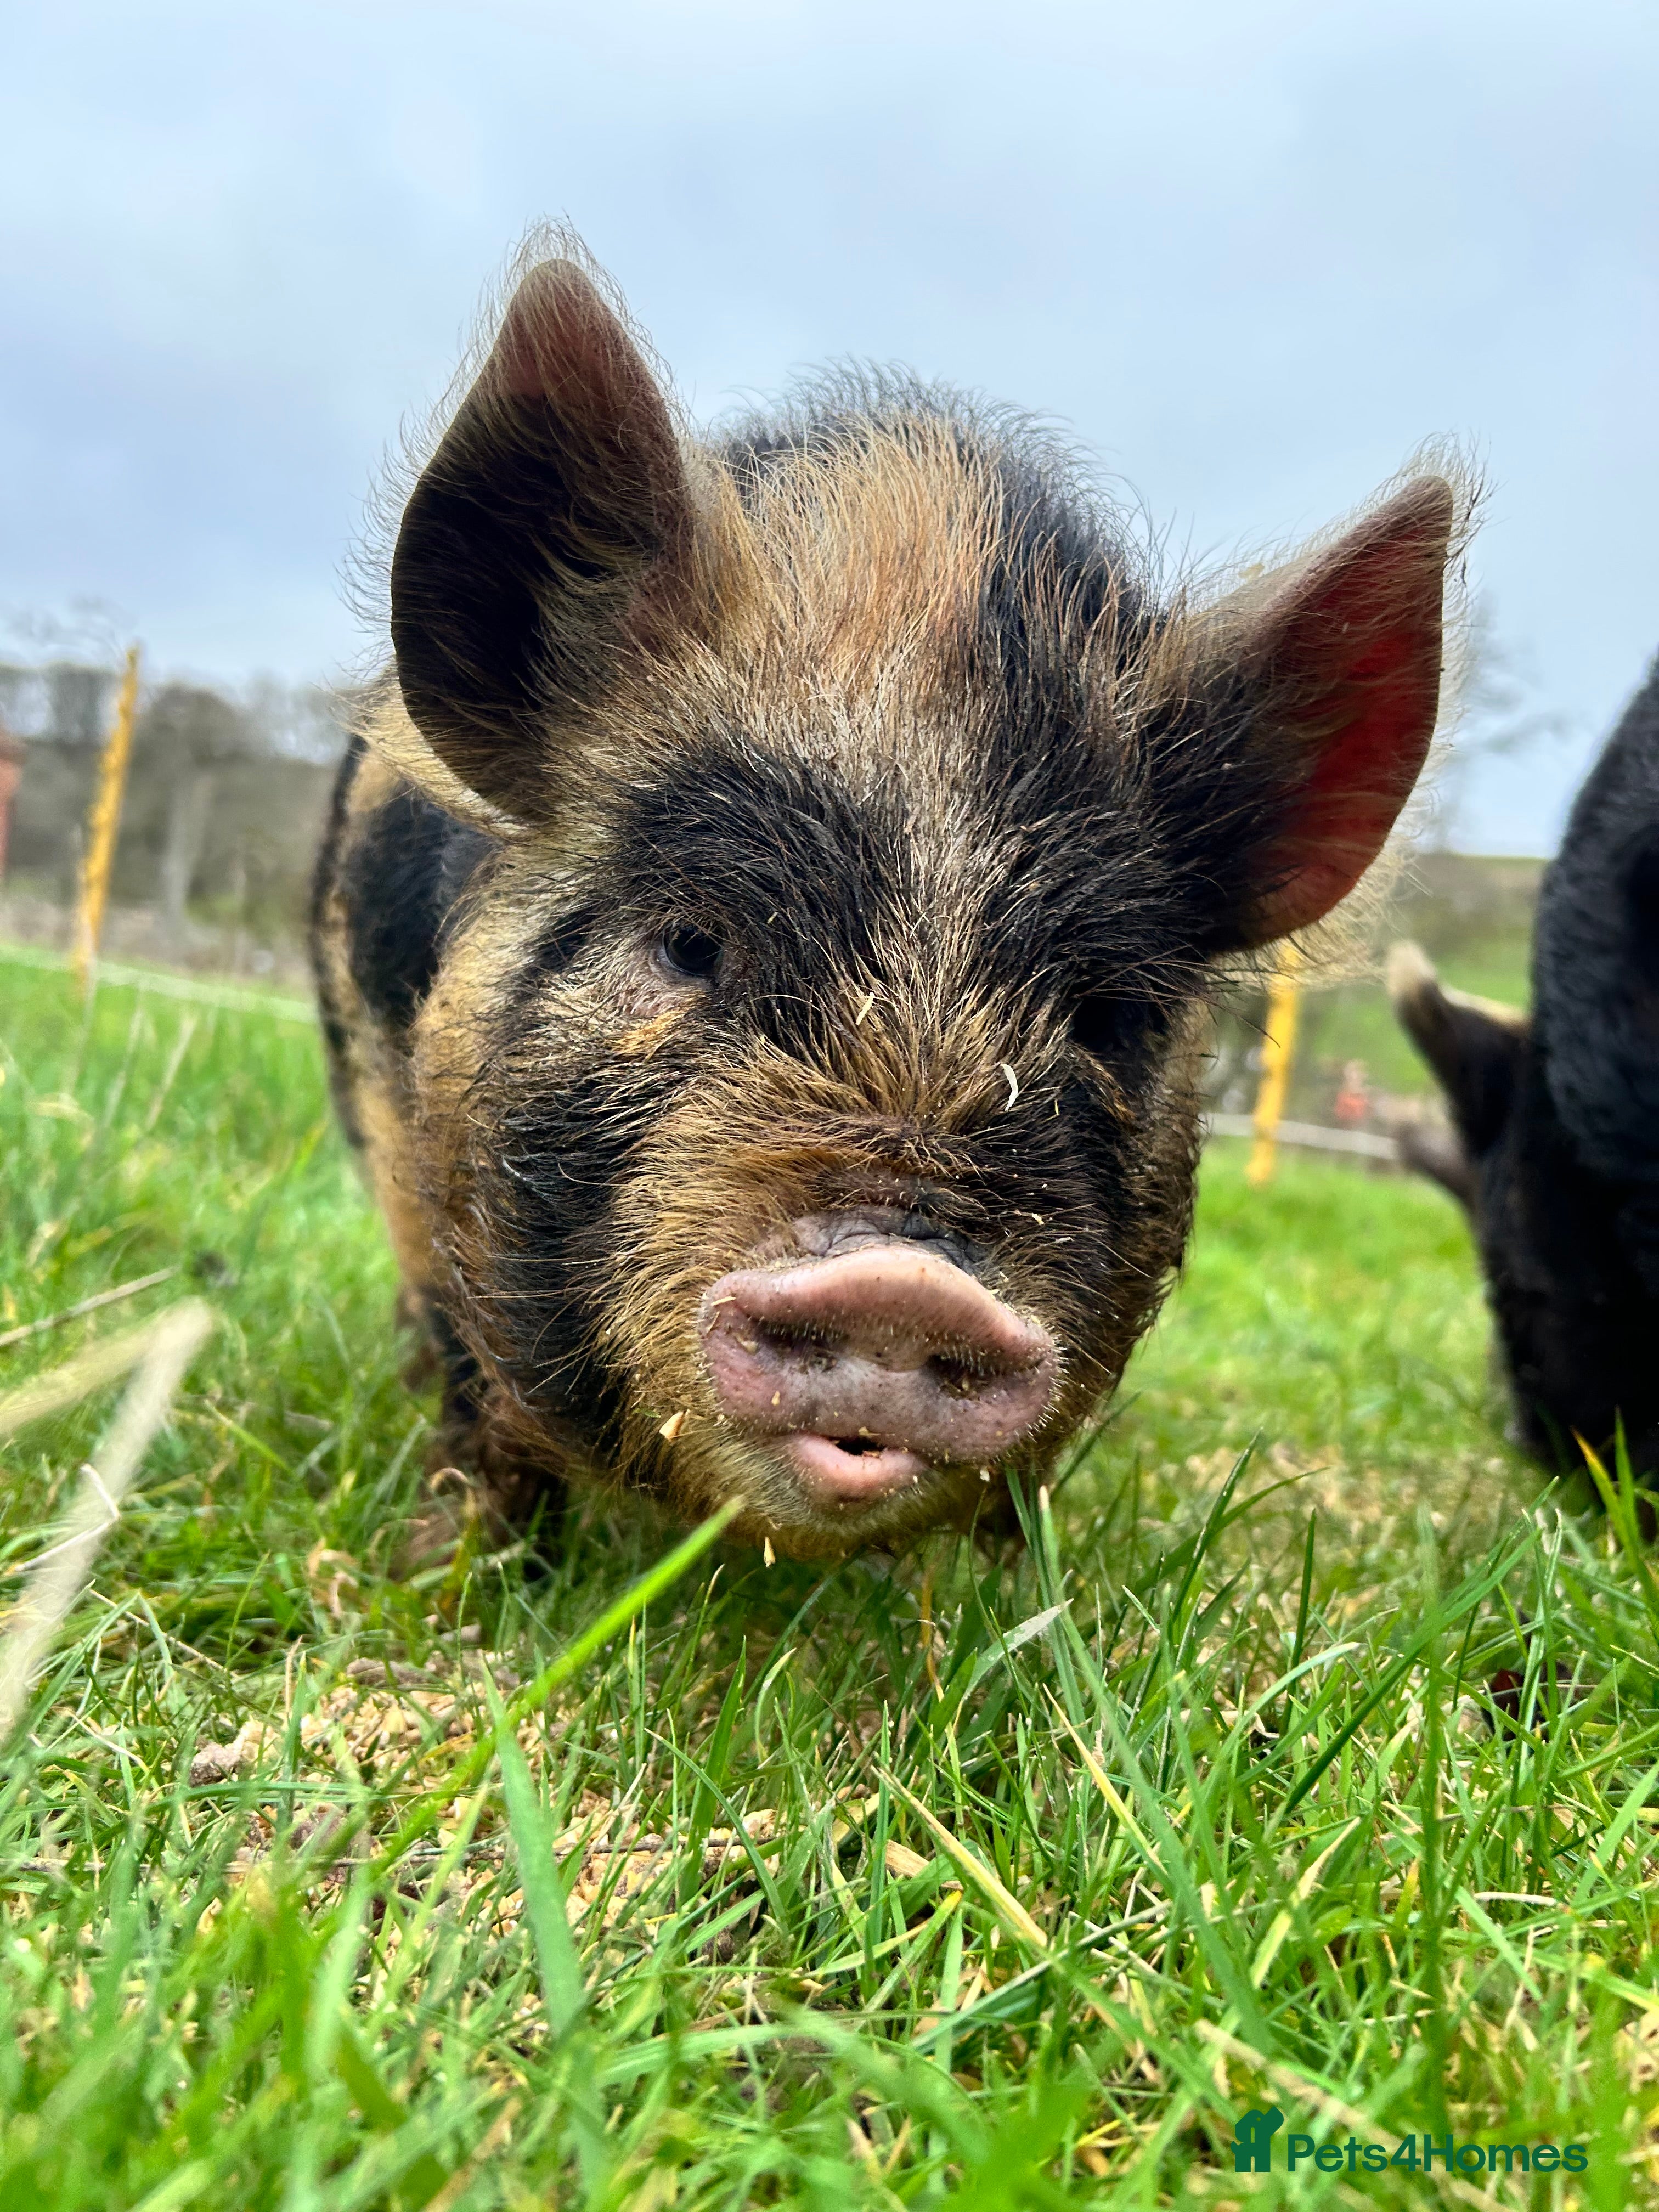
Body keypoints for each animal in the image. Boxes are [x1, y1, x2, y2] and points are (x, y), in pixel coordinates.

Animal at [312, 236, 1468, 1560]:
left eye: (1107, 1019)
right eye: (687, 942)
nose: (905, 1285)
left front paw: (1015, 1584)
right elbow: (473, 1375)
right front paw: (447, 1561)